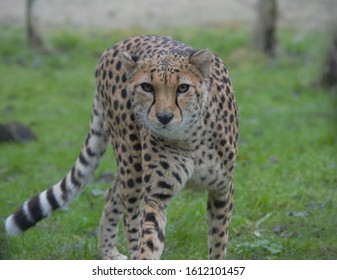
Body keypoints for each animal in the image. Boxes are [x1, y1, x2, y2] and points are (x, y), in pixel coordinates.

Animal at [4, 35, 236, 260]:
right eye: (147, 87)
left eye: (183, 88)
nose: (164, 117)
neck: (189, 137)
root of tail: (114, 46)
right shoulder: (157, 195)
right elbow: (149, 237)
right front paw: (143, 256)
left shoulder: (222, 189)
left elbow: (218, 240)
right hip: (131, 161)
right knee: (129, 215)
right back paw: (115, 253)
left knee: (112, 195)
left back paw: (108, 252)